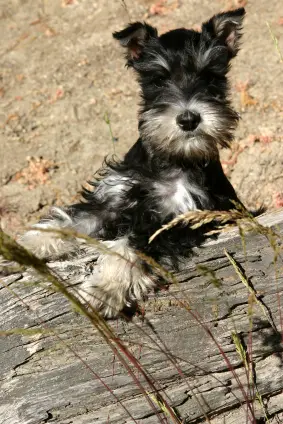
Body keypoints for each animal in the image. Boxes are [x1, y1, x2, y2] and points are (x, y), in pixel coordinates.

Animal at [22, 8, 246, 316]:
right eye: (158, 79)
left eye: (211, 77)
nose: (188, 119)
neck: (168, 159)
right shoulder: (112, 199)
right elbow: (73, 218)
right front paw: (30, 243)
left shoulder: (179, 220)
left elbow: (130, 245)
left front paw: (105, 287)